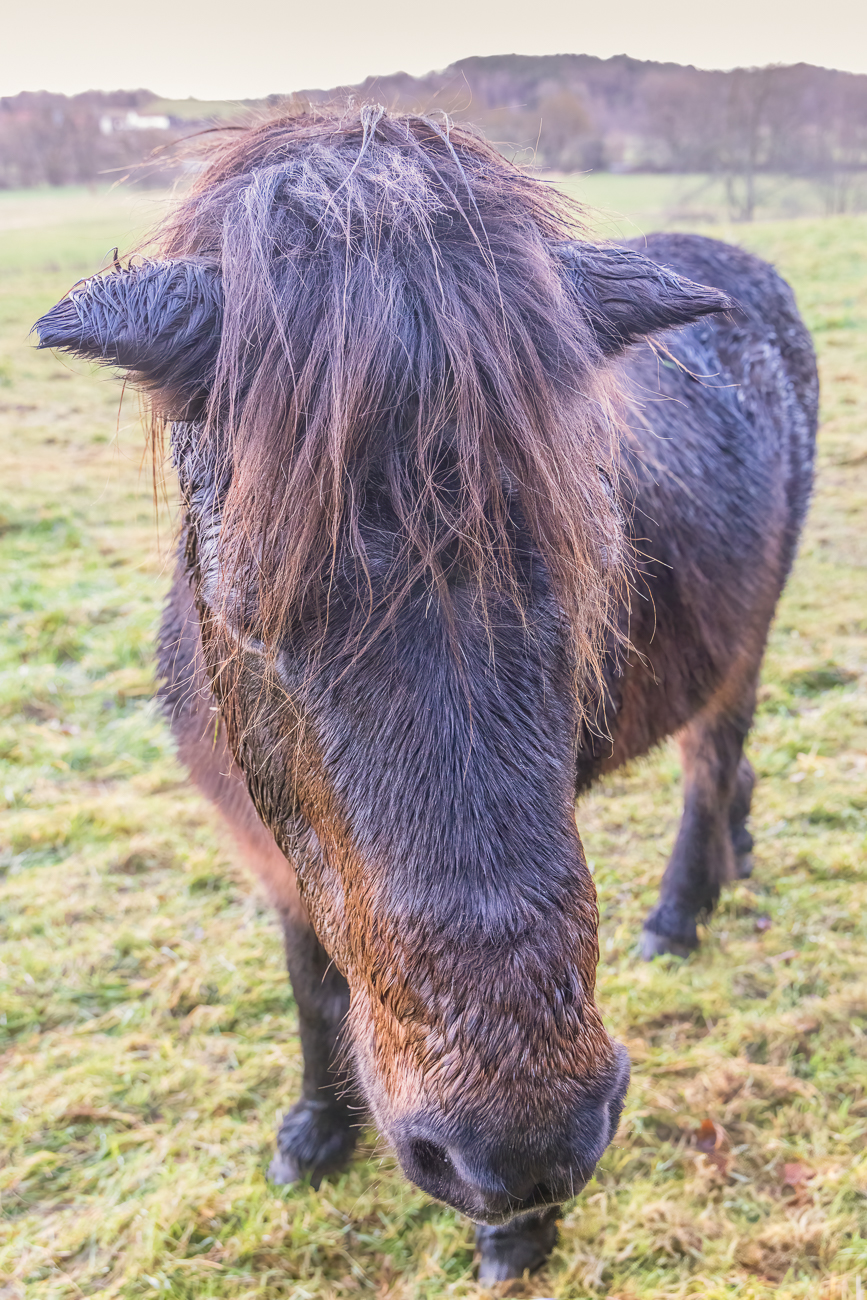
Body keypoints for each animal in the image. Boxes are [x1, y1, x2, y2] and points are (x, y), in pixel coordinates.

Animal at [35, 106, 818, 1283]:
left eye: (592, 566)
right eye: (251, 605)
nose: (524, 1149)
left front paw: (516, 1235)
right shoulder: (271, 854)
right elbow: (314, 983)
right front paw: (318, 1131)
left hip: (746, 640)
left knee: (711, 758)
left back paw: (679, 915)